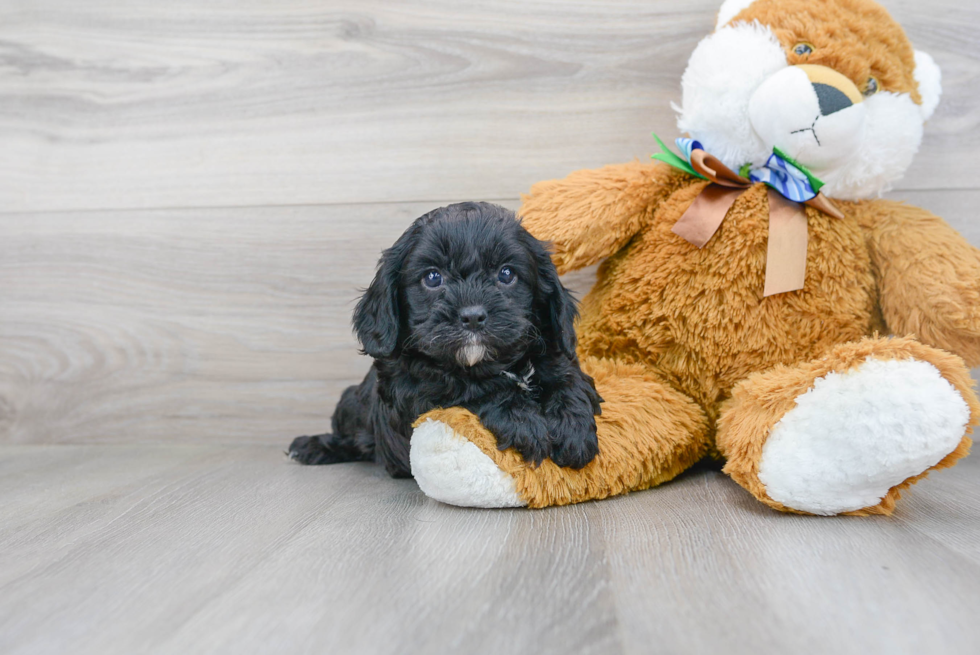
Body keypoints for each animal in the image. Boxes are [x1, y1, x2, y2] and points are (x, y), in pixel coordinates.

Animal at [288, 202, 600, 480]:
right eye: (432, 277)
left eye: (506, 273)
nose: (472, 316)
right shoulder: (411, 392)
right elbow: (467, 388)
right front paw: (523, 421)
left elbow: (568, 376)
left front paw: (573, 426)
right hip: (349, 402)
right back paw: (312, 446)